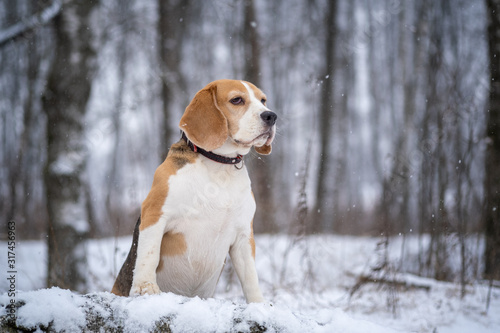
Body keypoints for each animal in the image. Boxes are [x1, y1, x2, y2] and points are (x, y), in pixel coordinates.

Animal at [111, 79, 278, 302]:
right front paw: (145, 288)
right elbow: (149, 254)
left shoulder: (244, 234)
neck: (220, 166)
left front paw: (258, 304)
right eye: (237, 100)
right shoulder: (154, 213)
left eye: (263, 100)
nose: (271, 116)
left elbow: (250, 276)